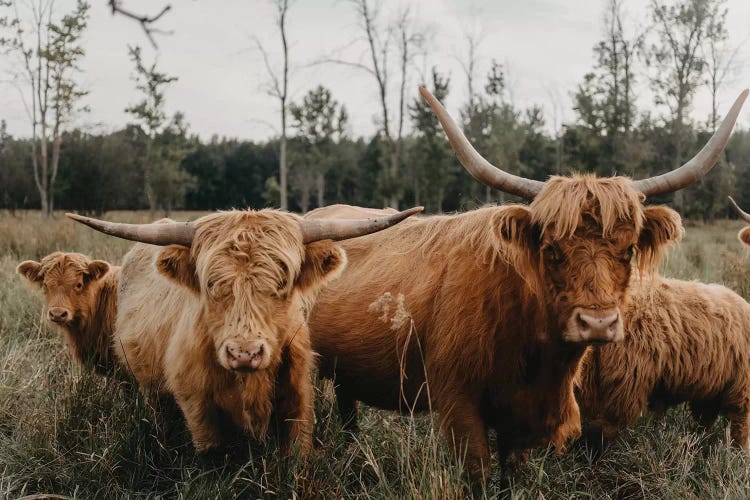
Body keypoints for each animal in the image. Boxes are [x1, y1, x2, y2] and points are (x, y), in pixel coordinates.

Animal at [69, 207, 424, 454]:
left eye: (282, 283)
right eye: (211, 285)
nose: (244, 353)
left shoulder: (298, 400)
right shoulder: (196, 405)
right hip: (150, 387)